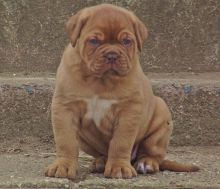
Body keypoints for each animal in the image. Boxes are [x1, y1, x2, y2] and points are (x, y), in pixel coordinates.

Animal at [45, 4, 199, 179]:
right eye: (94, 41)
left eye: (126, 41)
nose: (112, 54)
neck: (100, 80)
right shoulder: (65, 108)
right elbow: (66, 141)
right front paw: (63, 165)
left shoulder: (128, 112)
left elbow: (120, 142)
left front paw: (118, 167)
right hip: (84, 139)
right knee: (101, 153)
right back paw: (101, 162)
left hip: (161, 115)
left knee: (153, 154)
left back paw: (146, 163)